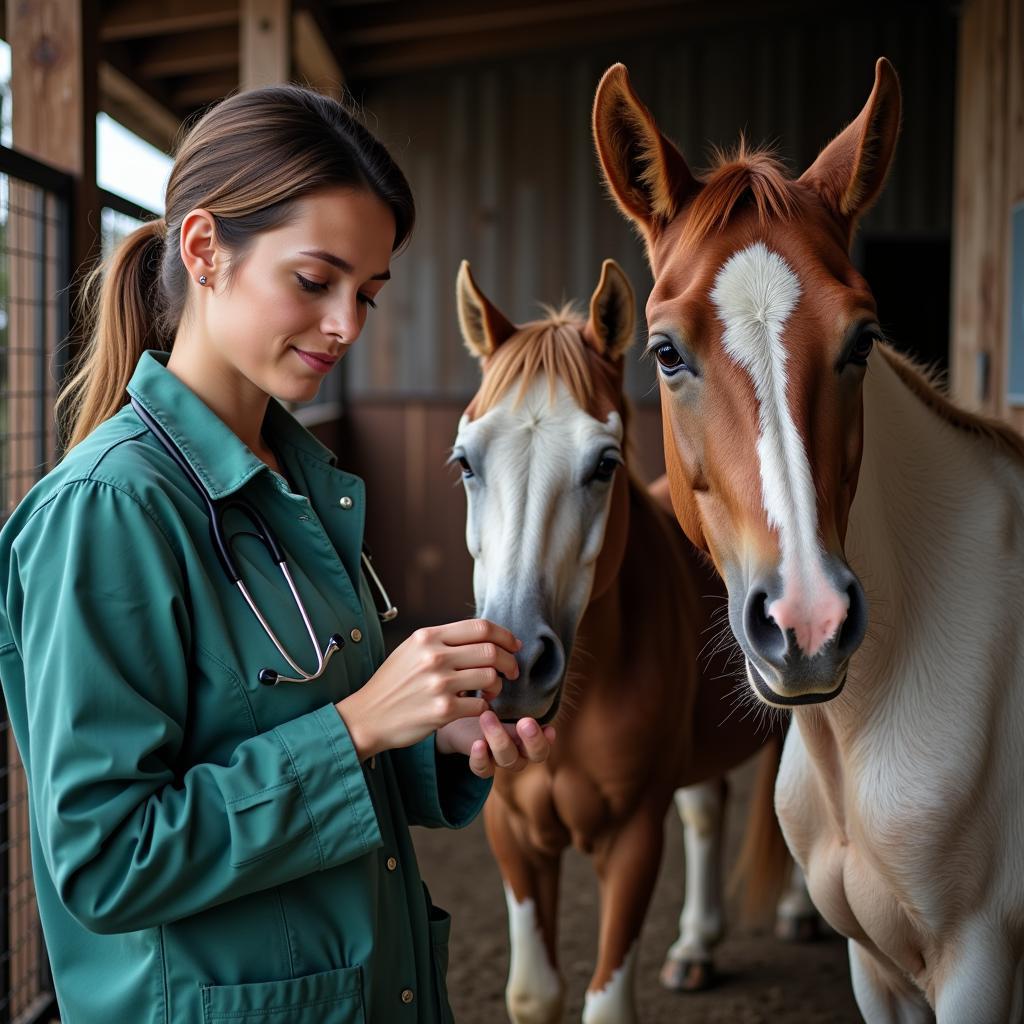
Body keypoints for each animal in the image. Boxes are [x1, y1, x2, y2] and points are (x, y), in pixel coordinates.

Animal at [452, 260, 786, 1024]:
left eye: (605, 464)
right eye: (465, 463)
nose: (516, 666)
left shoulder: (633, 837)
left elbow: (606, 1005)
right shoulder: (512, 833)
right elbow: (534, 994)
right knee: (707, 807)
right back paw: (696, 947)